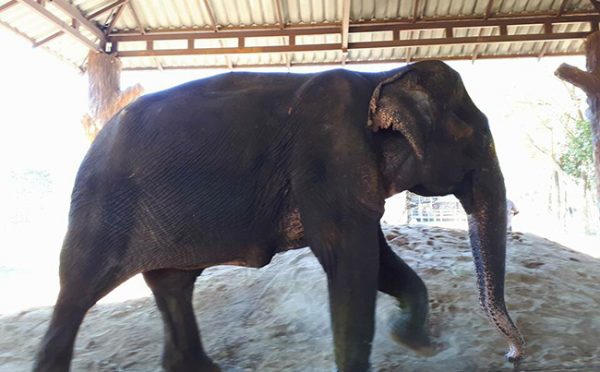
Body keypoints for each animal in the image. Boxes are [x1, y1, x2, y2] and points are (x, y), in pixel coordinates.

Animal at [32, 59, 524, 370]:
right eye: (481, 141)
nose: (513, 356)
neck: (382, 75)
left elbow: (377, 258)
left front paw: (416, 344)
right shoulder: (325, 157)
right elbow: (352, 262)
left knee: (173, 285)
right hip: (101, 208)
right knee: (78, 290)